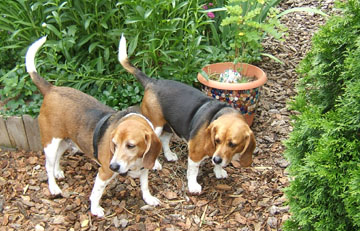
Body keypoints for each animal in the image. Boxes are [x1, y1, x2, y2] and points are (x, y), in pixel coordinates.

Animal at [27, 36, 162, 217]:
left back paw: (58, 171)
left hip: (65, 140)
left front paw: (148, 199)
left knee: (57, 158)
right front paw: (95, 209)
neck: (134, 161)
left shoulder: (144, 167)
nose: (114, 166)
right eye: (114, 144)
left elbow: (145, 185)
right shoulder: (104, 173)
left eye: (131, 145)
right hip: (50, 142)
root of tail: (51, 88)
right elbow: (96, 193)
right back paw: (54, 187)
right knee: (48, 166)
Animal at [118, 35, 256, 194]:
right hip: (155, 125)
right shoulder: (195, 154)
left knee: (163, 140)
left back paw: (169, 155)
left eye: (233, 144)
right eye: (217, 140)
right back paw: (155, 164)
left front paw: (219, 170)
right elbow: (193, 171)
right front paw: (193, 185)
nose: (216, 160)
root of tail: (152, 81)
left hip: (169, 126)